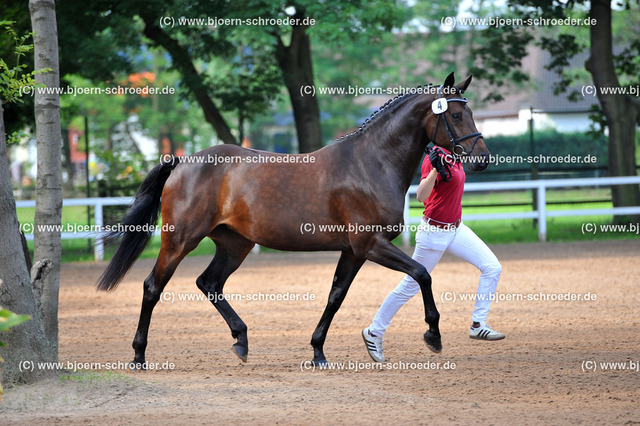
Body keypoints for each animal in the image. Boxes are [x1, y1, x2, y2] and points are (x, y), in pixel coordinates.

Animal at [97, 71, 490, 368]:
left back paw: (241, 340)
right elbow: (422, 274)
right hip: (179, 241)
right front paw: (433, 335)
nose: (483, 159)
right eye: (456, 115)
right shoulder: (371, 245)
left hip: (235, 244)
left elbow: (336, 296)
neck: (371, 163)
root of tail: (182, 162)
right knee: (153, 287)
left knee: (209, 283)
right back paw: (139, 356)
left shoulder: (354, 251)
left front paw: (318, 351)